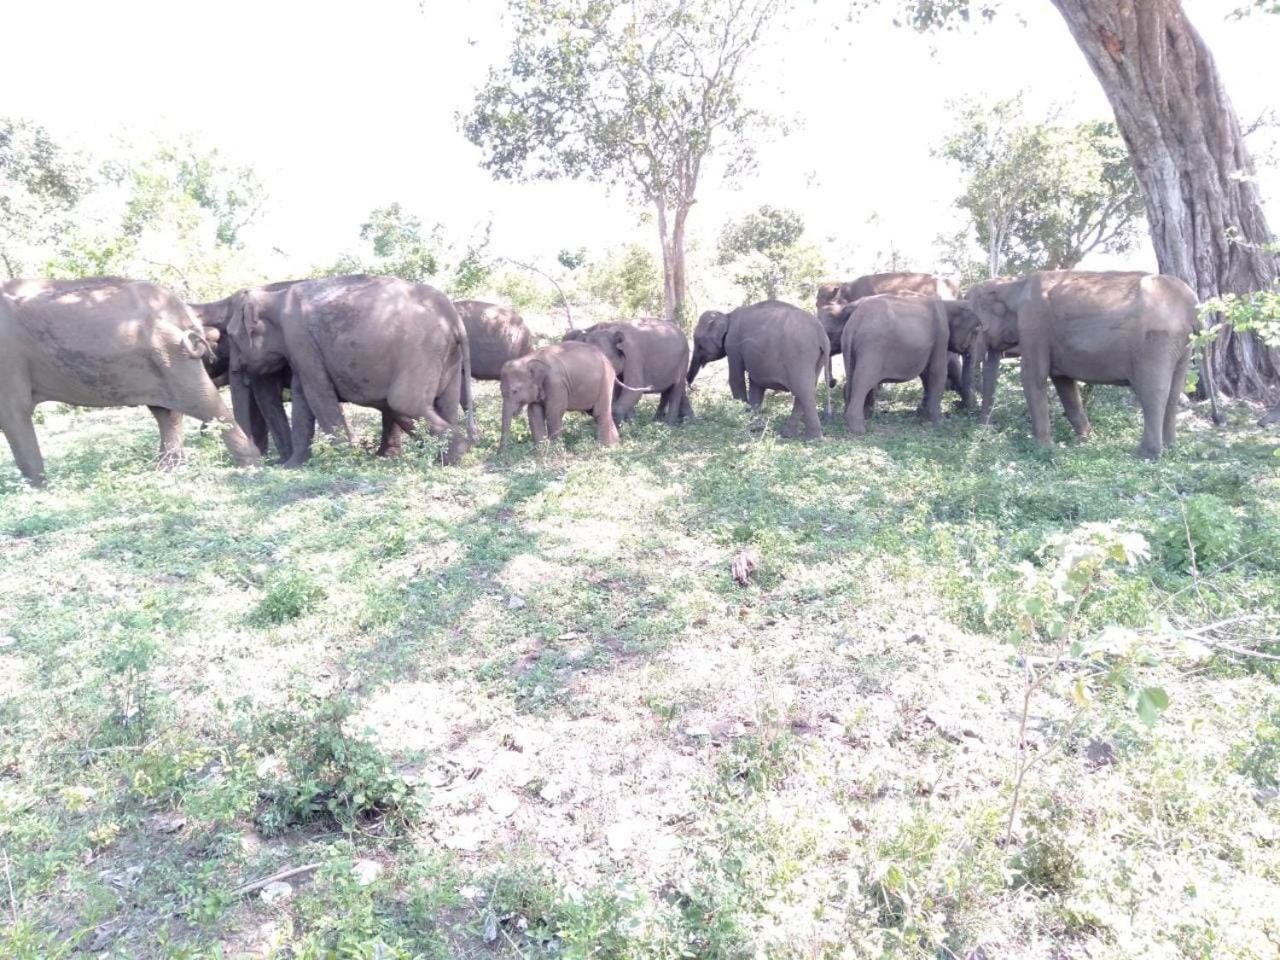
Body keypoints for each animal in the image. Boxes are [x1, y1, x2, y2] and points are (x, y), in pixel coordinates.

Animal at [0, 277, 260, 485]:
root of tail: (183, 309)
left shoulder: (9, 361)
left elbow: (14, 414)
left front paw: (37, 488)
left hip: (171, 352)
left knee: (203, 403)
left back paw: (250, 466)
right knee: (167, 412)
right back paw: (167, 469)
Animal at [226, 274, 474, 467]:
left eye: (231, 336)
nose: (260, 462)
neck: (276, 297)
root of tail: (454, 318)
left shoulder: (299, 338)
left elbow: (317, 394)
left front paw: (342, 459)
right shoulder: (301, 349)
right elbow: (302, 396)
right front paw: (293, 466)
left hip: (421, 349)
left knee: (403, 402)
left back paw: (456, 452)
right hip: (449, 356)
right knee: (444, 404)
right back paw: (447, 456)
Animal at [687, 300, 828, 440]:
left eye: (698, 342)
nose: (692, 386)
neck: (727, 315)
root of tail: (821, 335)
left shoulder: (732, 344)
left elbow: (736, 379)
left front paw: (742, 421)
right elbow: (756, 385)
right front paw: (755, 427)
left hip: (799, 357)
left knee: (804, 392)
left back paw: (813, 439)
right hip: (818, 360)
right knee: (806, 390)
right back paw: (789, 435)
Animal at [841, 294, 984, 436]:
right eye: (975, 331)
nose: (957, 404)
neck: (948, 303)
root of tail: (854, 323)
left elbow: (927, 374)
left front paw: (922, 414)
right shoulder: (941, 334)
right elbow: (938, 372)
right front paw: (938, 422)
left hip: (852, 349)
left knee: (851, 380)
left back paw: (859, 418)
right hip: (872, 348)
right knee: (862, 382)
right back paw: (859, 430)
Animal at [966, 270, 1199, 460]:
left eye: (977, 329)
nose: (986, 431)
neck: (1015, 283)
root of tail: (1191, 305)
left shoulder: (1033, 324)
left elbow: (1033, 377)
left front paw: (1044, 449)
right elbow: (1063, 383)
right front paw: (1087, 440)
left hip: (1156, 342)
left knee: (1153, 392)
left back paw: (1146, 456)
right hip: (1183, 345)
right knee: (1174, 392)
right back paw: (1171, 449)